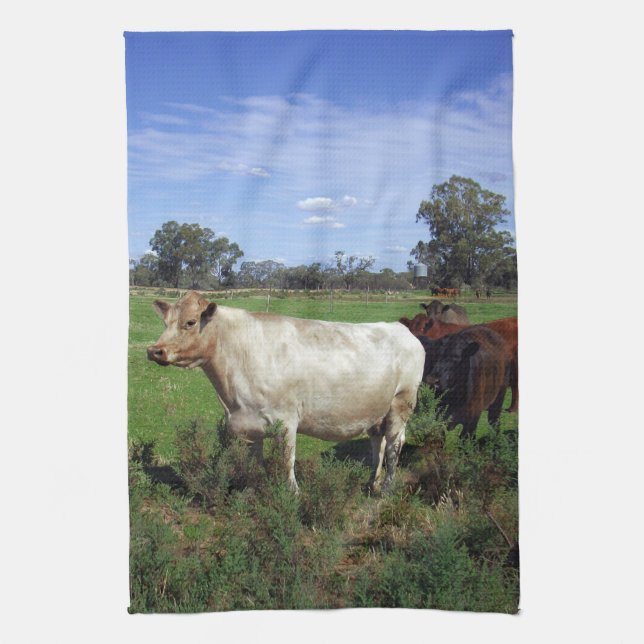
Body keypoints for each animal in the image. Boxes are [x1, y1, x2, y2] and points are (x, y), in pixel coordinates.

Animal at [147, 291, 425, 494]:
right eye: (165, 322)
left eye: (190, 322)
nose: (155, 350)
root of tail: (401, 329)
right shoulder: (248, 426)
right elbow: (253, 464)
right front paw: (252, 491)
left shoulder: (286, 421)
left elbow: (286, 460)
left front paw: (292, 494)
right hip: (377, 410)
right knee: (378, 443)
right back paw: (371, 483)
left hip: (401, 403)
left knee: (394, 444)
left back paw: (386, 489)